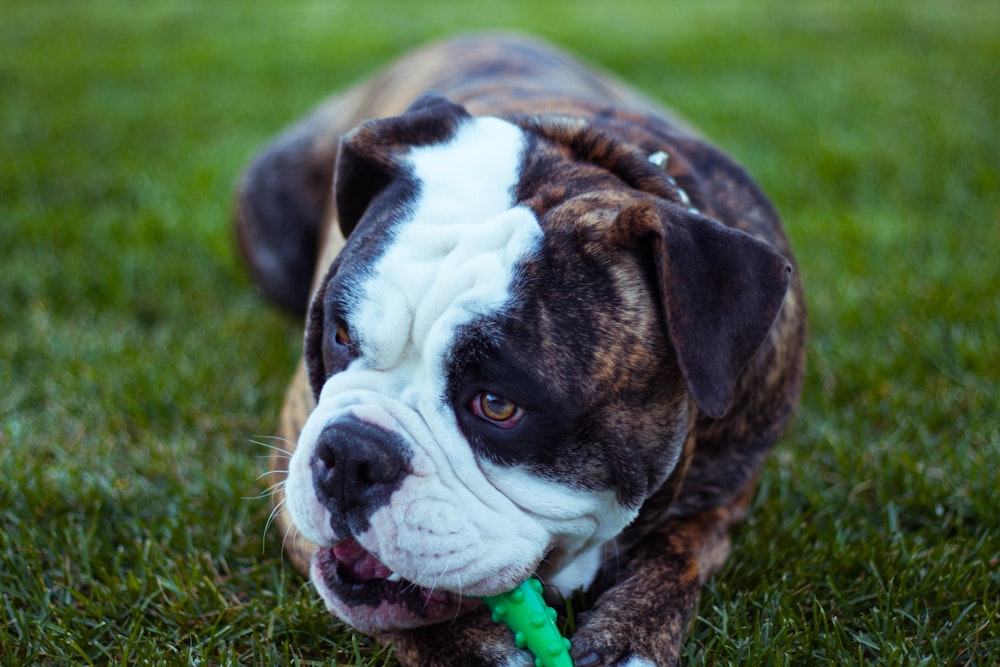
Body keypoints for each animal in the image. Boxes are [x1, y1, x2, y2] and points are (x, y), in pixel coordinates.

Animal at [232, 32, 804, 667]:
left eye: (497, 405)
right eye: (340, 335)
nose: (352, 454)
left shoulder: (725, 494)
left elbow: (678, 553)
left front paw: (630, 635)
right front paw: (474, 650)